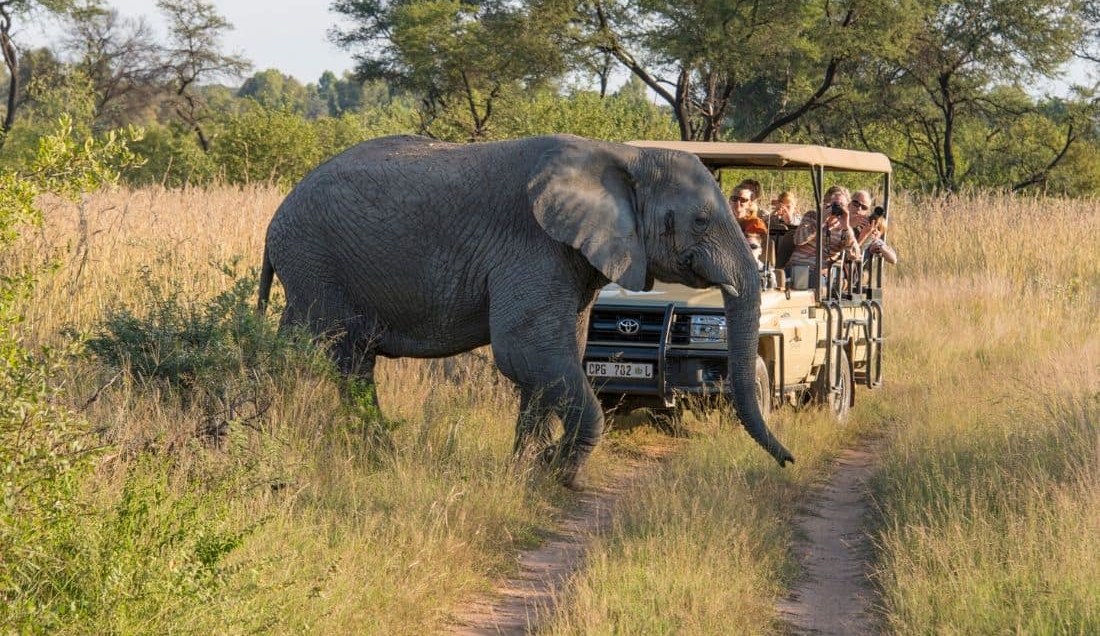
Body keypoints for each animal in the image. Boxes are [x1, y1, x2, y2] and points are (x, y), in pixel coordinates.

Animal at [257, 134, 794, 488]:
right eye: (700, 221)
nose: (789, 462)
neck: (625, 155)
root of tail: (275, 218)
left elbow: (554, 357)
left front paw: (526, 470)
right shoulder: (533, 246)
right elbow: (528, 353)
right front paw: (559, 474)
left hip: (312, 272)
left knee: (319, 356)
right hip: (317, 265)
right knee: (338, 357)